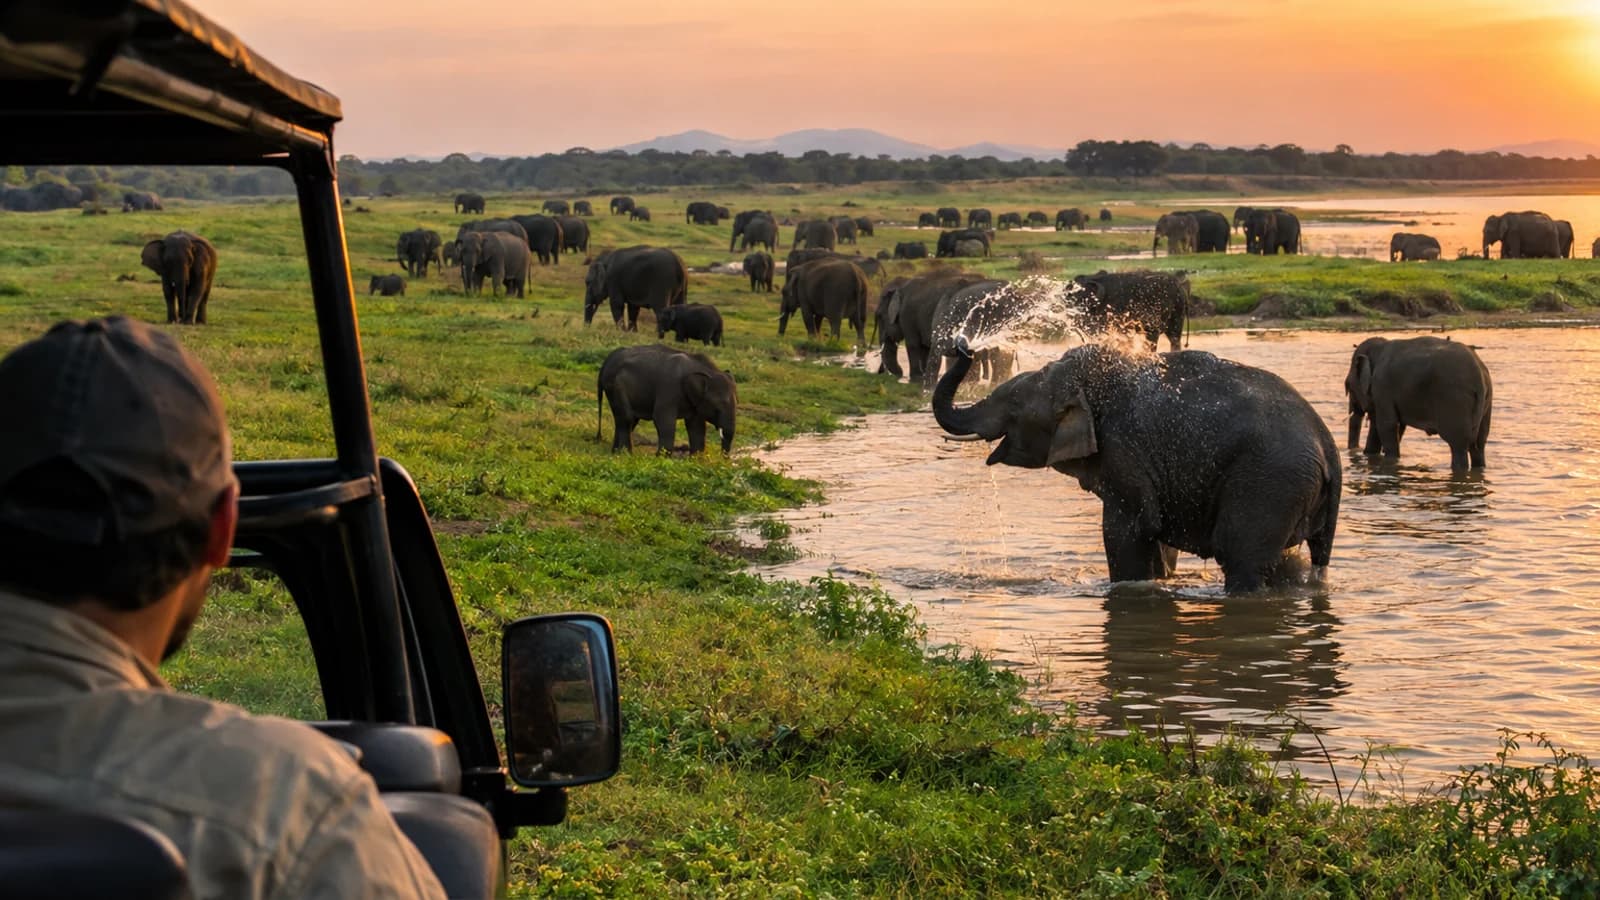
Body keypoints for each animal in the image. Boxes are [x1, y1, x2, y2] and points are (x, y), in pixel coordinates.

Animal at [596, 344, 736, 454]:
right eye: (717, 407)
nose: (724, 458)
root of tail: (606, 362)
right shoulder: (669, 388)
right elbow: (663, 419)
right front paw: (661, 457)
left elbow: (696, 426)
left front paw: (696, 459)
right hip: (616, 386)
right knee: (627, 418)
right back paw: (626, 454)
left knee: (628, 419)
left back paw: (616, 453)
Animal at [932, 339, 1342, 593]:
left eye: (1014, 407)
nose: (962, 344)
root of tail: (1329, 447)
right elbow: (1153, 532)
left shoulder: (1123, 449)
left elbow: (1127, 530)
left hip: (1271, 482)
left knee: (1242, 558)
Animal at [1345, 336, 1492, 472]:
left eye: (1348, 386)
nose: (1356, 450)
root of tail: (1480, 378)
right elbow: (1390, 426)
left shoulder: (1382, 387)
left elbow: (1386, 425)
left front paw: (1390, 460)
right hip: (1485, 402)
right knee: (1479, 444)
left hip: (1455, 399)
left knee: (1458, 445)